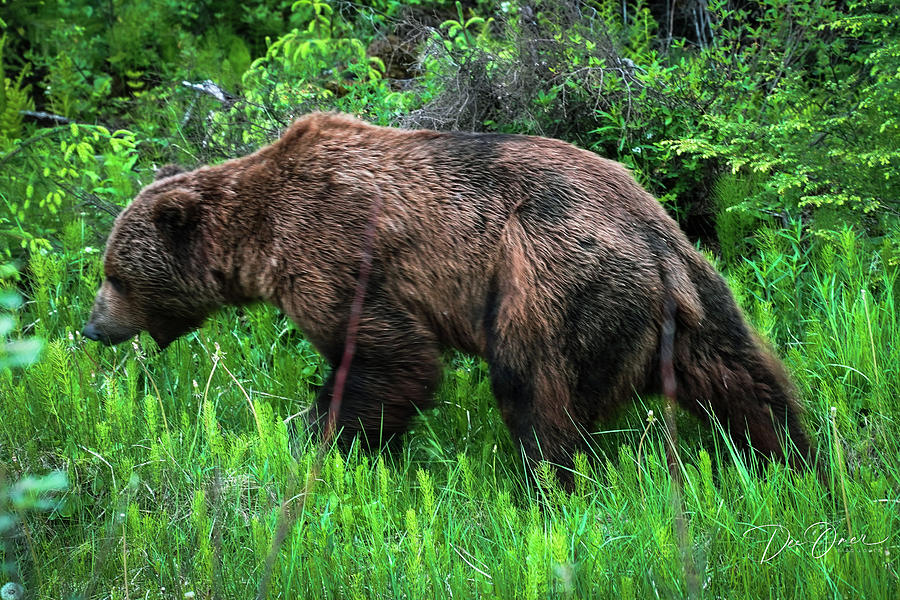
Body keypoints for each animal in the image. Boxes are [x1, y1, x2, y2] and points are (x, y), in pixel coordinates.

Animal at [83, 112, 811, 481]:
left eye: (115, 274)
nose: (91, 327)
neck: (259, 237)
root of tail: (657, 245)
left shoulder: (334, 253)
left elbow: (387, 359)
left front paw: (318, 440)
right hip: (701, 293)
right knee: (748, 379)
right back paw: (795, 462)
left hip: (551, 278)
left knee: (534, 390)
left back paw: (545, 487)